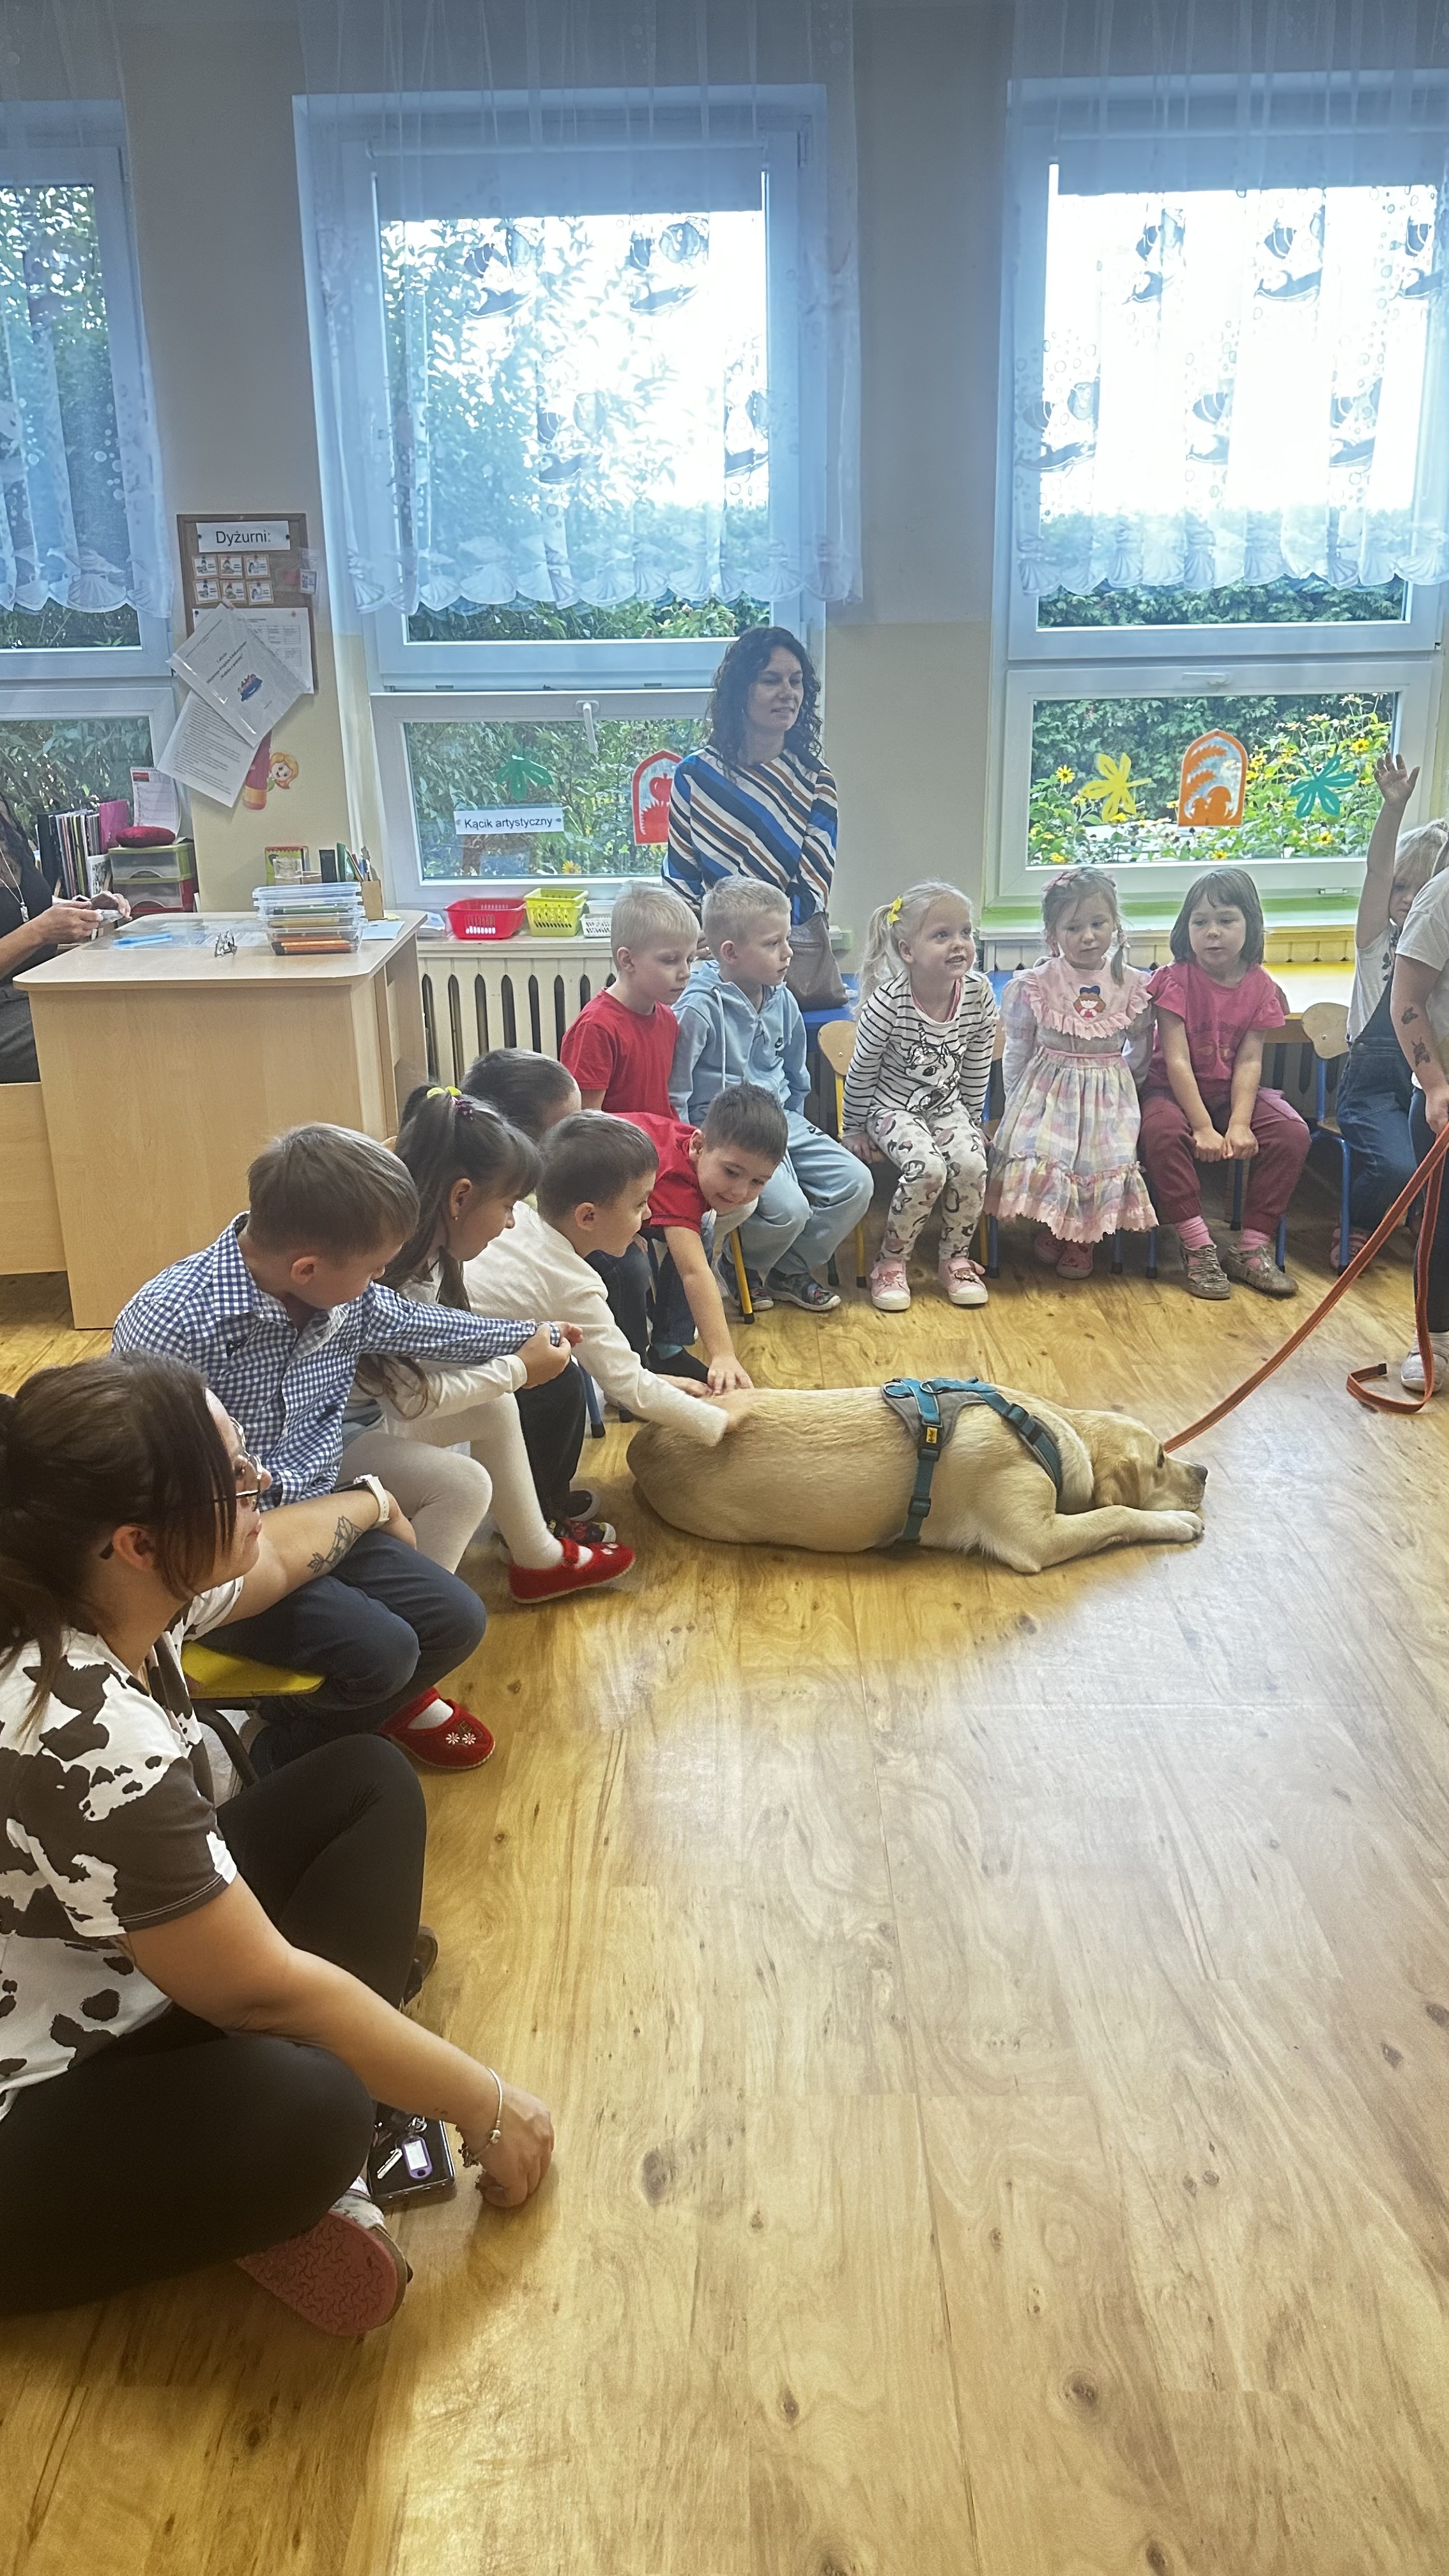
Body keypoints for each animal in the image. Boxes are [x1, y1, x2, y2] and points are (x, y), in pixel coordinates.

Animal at [628, 1383, 1207, 1574]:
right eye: (1160, 1460)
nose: (1203, 1470)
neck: (1049, 1432)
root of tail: (642, 1443)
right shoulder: (1033, 1538)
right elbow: (1117, 1514)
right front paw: (1178, 1522)